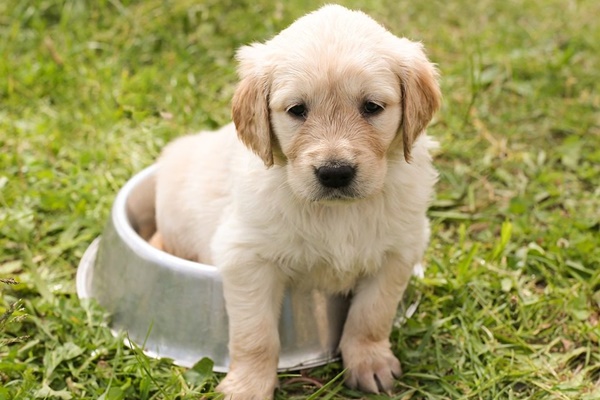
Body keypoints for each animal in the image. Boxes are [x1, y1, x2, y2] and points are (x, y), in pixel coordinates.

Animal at [154, 4, 440, 398]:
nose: (335, 173)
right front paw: (248, 386)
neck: (337, 213)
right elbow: (256, 334)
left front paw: (370, 362)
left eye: (371, 107)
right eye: (297, 110)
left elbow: (372, 314)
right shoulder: (245, 256)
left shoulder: (399, 251)